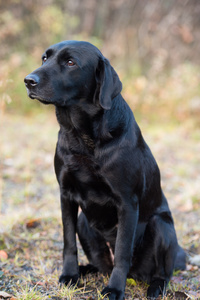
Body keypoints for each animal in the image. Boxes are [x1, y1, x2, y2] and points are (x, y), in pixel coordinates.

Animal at [24, 40, 186, 300]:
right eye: (44, 58)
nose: (28, 80)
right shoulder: (65, 194)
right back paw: (85, 270)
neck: (83, 137)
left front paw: (114, 289)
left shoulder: (127, 202)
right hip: (84, 222)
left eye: (71, 62)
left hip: (161, 225)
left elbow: (121, 251)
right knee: (100, 264)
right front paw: (69, 275)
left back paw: (155, 287)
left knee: (162, 273)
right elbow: (68, 242)